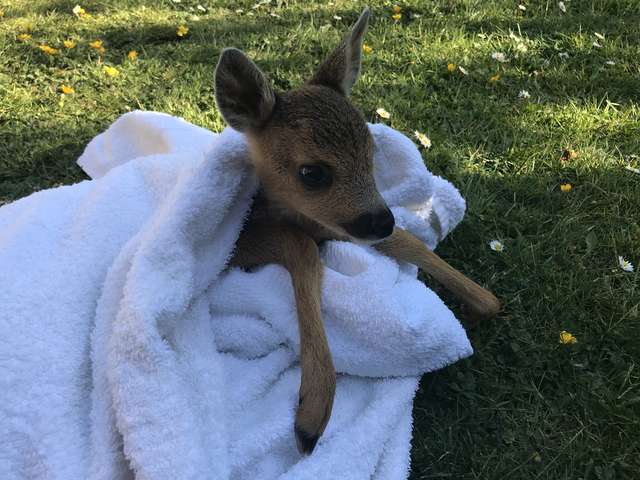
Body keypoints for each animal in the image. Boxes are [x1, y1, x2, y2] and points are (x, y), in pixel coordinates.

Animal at [215, 8, 501, 455]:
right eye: (312, 173)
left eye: (372, 152)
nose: (381, 219)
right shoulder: (239, 242)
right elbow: (302, 247)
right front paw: (312, 415)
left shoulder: (340, 225)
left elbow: (408, 241)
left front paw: (483, 300)